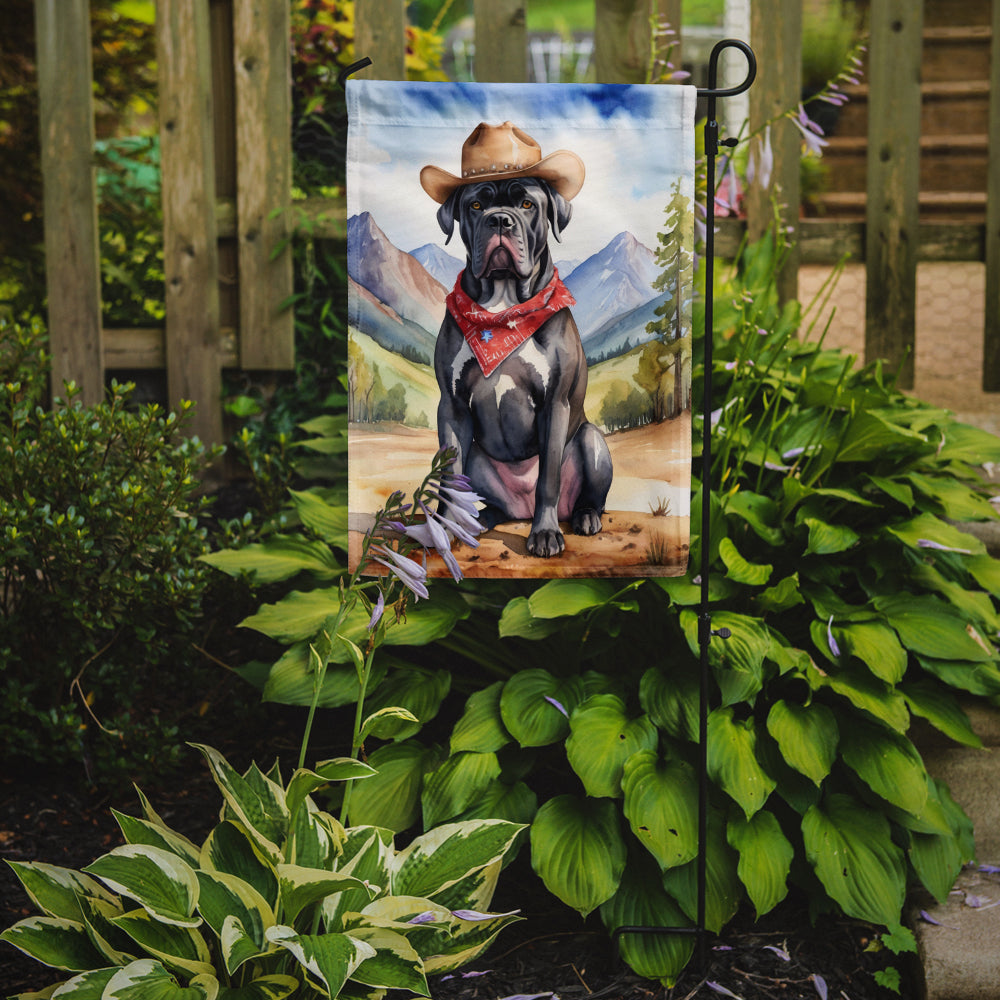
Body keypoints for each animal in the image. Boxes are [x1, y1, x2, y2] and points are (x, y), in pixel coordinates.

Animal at [432, 176, 612, 560]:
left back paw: (585, 516)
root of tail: (521, 511)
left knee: (590, 496)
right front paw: (444, 527)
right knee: (488, 501)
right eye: (475, 205)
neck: (504, 306)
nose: (500, 220)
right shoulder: (452, 407)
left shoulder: (554, 404)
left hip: (592, 441)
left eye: (527, 204)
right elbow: (449, 479)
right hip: (478, 459)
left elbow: (548, 478)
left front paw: (545, 534)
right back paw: (478, 520)